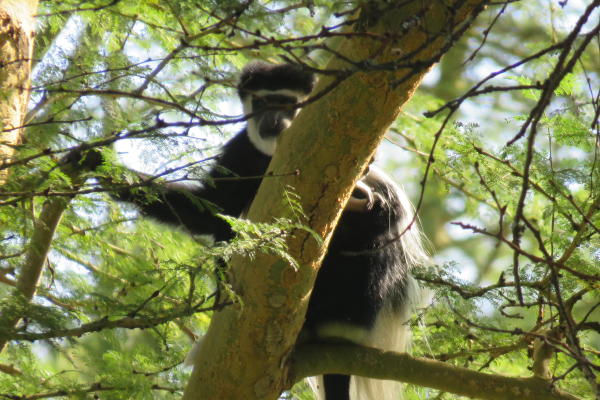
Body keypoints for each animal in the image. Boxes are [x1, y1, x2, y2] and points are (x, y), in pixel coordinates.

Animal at [75, 61, 428, 398]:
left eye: (286, 103)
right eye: (260, 103)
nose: (272, 119)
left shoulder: (361, 161)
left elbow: (382, 214)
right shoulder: (240, 153)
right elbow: (213, 211)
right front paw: (100, 165)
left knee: (374, 246)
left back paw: (338, 330)